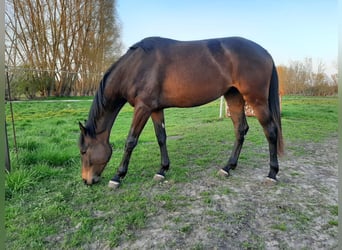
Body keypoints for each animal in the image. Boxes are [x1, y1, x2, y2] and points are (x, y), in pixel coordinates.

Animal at [78, 36, 284, 188]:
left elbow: (130, 141)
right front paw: (162, 170)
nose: (86, 180)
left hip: (256, 100)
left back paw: (272, 173)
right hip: (233, 97)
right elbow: (161, 137)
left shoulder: (143, 107)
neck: (136, 66)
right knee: (240, 129)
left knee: (271, 131)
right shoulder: (155, 109)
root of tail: (265, 52)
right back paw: (228, 167)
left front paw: (117, 176)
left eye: (84, 151)